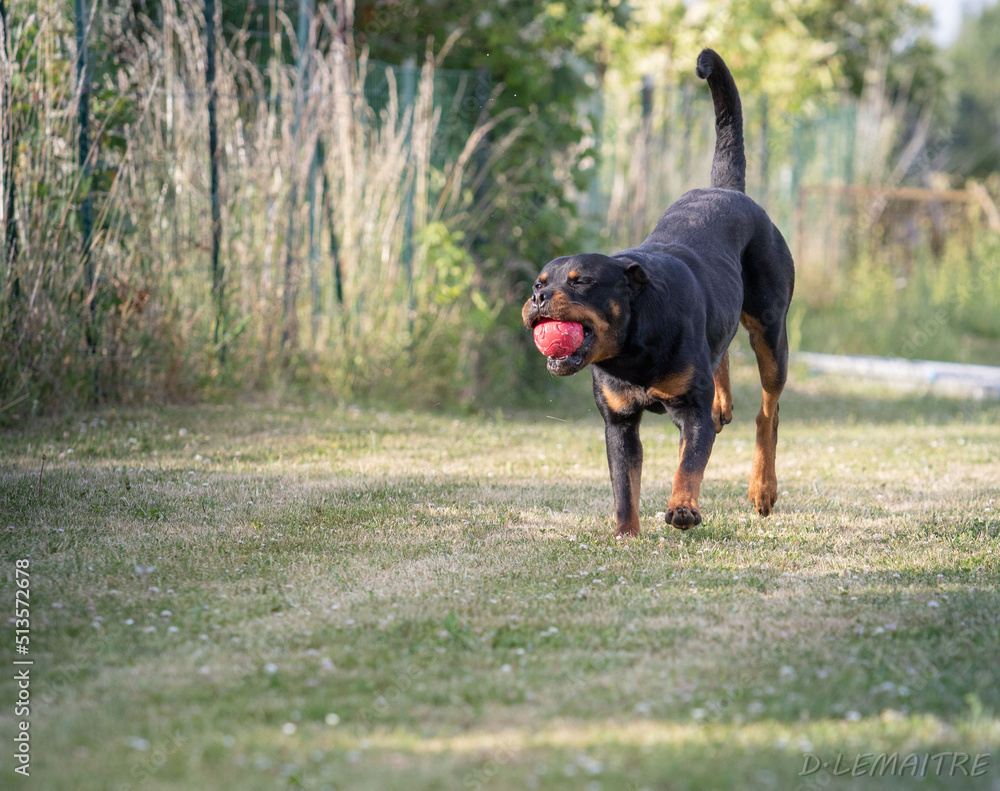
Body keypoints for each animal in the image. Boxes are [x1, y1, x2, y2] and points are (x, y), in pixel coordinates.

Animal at [524, 48, 796, 532]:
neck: (632, 348)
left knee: (769, 409)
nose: (538, 299)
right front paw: (626, 535)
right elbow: (623, 486)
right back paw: (724, 403)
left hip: (770, 328)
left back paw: (762, 487)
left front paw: (683, 508)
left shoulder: (690, 411)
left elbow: (689, 464)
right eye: (539, 283)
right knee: (721, 350)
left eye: (582, 282)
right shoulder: (618, 423)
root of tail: (727, 190)